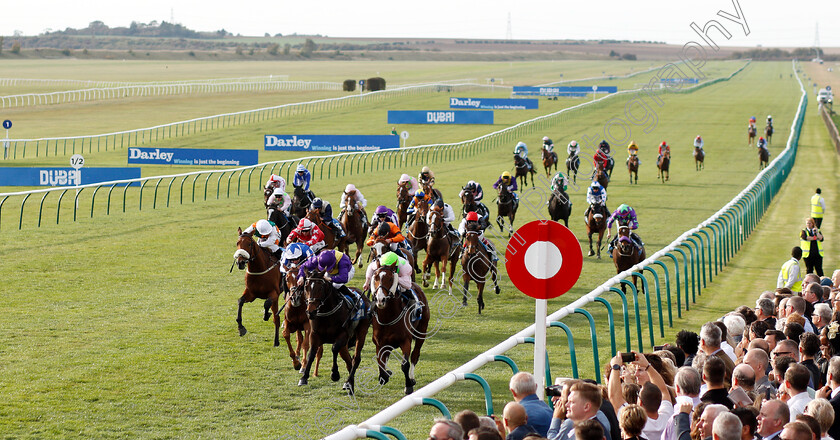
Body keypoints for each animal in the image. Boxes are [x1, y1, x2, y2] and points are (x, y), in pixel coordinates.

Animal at [370, 264, 430, 396]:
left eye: (390, 279)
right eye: (375, 277)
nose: (381, 299)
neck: (388, 317)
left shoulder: (405, 341)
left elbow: (405, 364)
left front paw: (408, 386)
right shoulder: (379, 343)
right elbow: (380, 363)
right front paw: (385, 375)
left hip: (422, 331)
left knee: (415, 355)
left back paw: (412, 378)